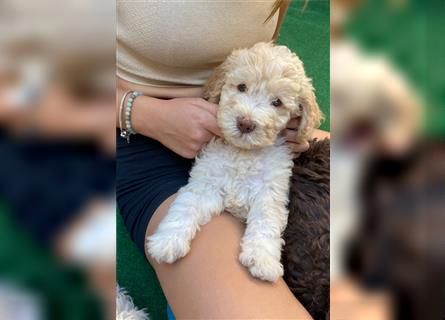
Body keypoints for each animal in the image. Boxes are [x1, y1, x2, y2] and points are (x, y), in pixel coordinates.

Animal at [147, 42, 320, 282]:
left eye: (277, 102)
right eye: (241, 87)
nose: (245, 123)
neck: (243, 153)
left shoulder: (270, 192)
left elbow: (266, 222)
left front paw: (262, 259)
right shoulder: (206, 183)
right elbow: (186, 205)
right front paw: (167, 240)